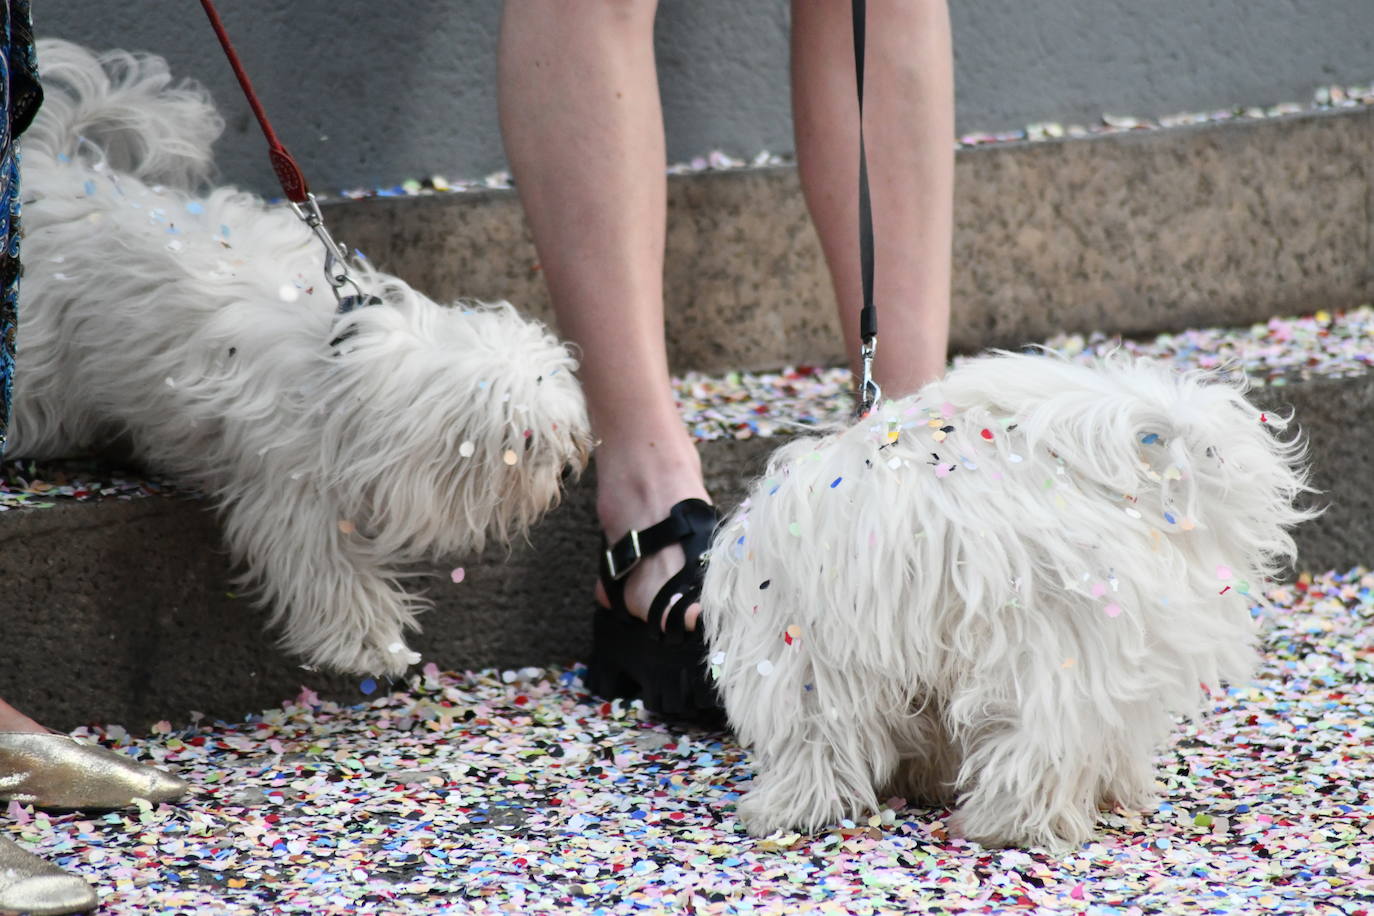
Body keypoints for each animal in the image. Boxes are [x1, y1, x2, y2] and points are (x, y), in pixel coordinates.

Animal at [9, 41, 590, 672]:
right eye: (525, 443)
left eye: (562, 433)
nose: (568, 472)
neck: (347, 373)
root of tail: (54, 166)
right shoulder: (293, 491)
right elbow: (323, 564)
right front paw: (371, 642)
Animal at [703, 348, 1313, 845]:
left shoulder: (800, 656)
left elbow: (812, 739)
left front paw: (791, 808)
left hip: (1042, 640)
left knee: (1043, 737)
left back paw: (1005, 824)